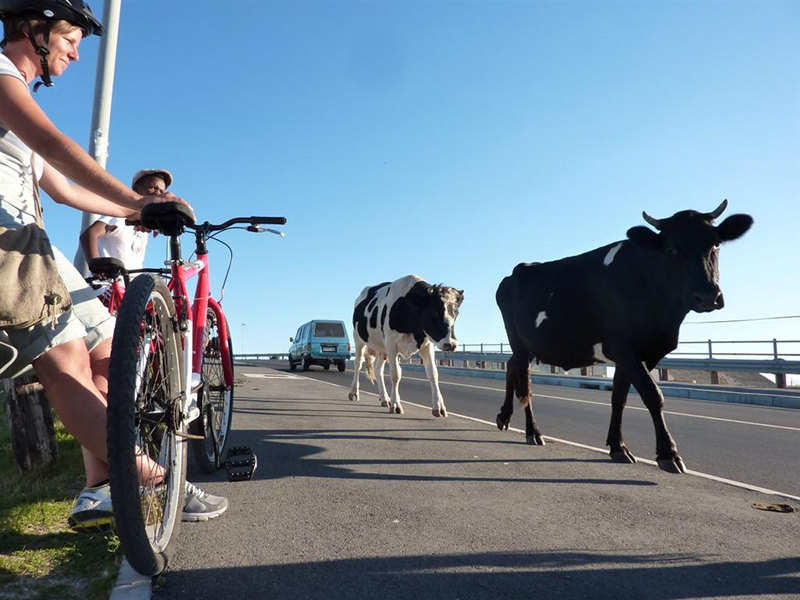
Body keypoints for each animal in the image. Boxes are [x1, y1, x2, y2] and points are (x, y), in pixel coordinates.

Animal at [348, 276, 462, 418]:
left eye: (456, 312)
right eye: (434, 311)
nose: (451, 344)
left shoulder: (427, 345)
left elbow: (433, 373)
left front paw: (439, 407)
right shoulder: (391, 343)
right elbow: (396, 374)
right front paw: (396, 405)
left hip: (382, 349)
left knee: (378, 369)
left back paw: (384, 398)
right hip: (359, 340)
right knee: (358, 364)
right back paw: (354, 393)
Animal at [496, 202, 752, 474]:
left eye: (715, 244)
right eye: (671, 249)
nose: (707, 296)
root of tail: (516, 271)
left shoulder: (644, 351)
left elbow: (619, 397)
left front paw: (618, 447)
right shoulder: (623, 347)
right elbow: (653, 395)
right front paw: (668, 454)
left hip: (530, 346)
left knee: (511, 366)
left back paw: (504, 417)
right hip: (518, 341)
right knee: (526, 384)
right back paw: (533, 432)